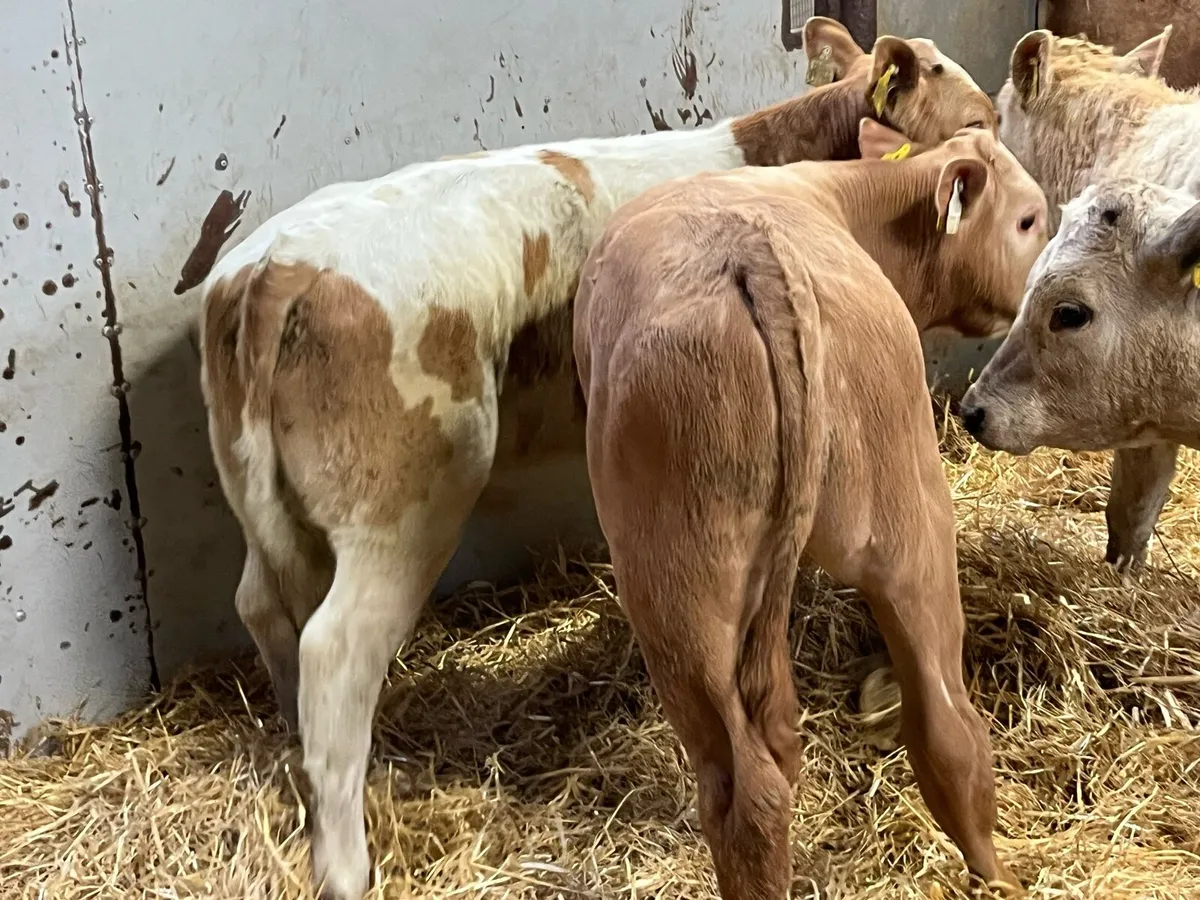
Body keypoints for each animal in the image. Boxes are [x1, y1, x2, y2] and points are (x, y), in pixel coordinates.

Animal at [198, 18, 1000, 900]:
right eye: (979, 121)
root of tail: (276, 267)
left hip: (268, 496)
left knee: (267, 609)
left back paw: (302, 757)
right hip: (405, 502)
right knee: (336, 649)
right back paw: (345, 863)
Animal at [572, 126, 1048, 899]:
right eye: (1030, 218)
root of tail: (756, 255)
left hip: (678, 586)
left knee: (746, 789)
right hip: (906, 521)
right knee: (947, 732)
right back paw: (998, 876)